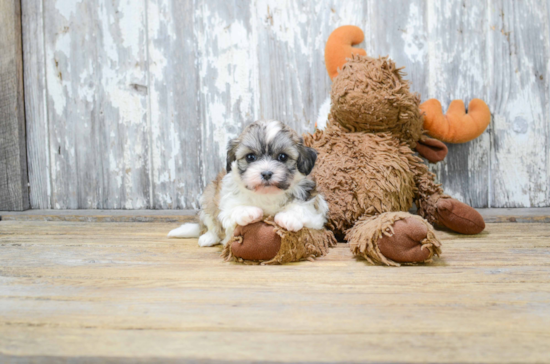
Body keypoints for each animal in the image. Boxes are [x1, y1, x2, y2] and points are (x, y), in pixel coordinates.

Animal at [168, 120, 330, 247]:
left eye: (282, 157)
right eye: (250, 157)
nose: (266, 173)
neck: (267, 194)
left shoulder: (314, 205)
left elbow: (304, 209)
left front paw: (289, 217)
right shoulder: (226, 199)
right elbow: (232, 210)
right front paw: (247, 211)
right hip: (208, 197)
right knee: (211, 223)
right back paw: (208, 237)